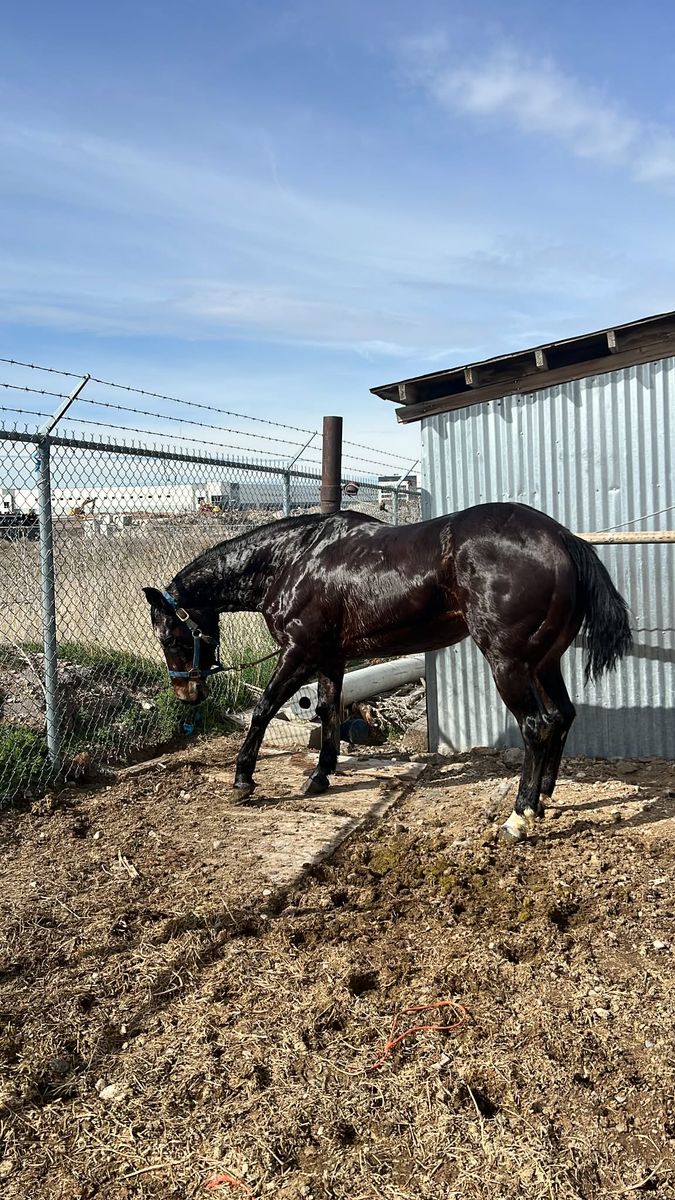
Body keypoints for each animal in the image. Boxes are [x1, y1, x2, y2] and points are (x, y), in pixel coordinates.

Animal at [143, 502, 632, 842]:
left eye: (170, 638)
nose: (187, 694)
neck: (294, 559)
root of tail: (561, 538)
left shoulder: (298, 653)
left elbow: (263, 709)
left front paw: (243, 779)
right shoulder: (332, 658)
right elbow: (328, 710)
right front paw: (321, 775)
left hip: (509, 664)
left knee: (536, 726)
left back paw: (518, 817)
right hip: (544, 662)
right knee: (562, 716)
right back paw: (542, 801)